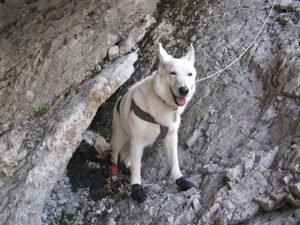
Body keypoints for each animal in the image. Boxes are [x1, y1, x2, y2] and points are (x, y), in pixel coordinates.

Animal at [107, 43, 197, 203]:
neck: (162, 101)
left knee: (128, 158)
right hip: (121, 136)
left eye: (189, 74)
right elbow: (135, 171)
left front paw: (180, 180)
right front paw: (137, 188)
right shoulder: (137, 141)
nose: (184, 90)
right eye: (173, 73)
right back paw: (113, 167)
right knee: (115, 153)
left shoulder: (170, 138)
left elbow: (174, 163)